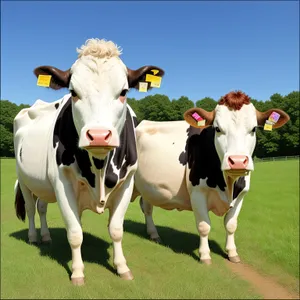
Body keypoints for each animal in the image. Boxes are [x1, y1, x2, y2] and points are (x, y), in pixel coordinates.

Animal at [13, 38, 164, 284]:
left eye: (124, 92)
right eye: (73, 92)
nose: (99, 135)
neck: (100, 169)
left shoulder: (127, 183)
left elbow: (116, 230)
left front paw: (122, 267)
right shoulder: (62, 183)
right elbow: (75, 232)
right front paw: (77, 271)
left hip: (43, 183)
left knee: (42, 207)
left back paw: (46, 236)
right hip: (24, 179)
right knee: (30, 208)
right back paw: (34, 236)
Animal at [132, 91, 290, 264]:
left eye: (254, 128)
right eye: (217, 128)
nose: (237, 161)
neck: (228, 185)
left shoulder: (241, 195)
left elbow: (231, 225)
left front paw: (232, 253)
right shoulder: (197, 193)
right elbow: (204, 226)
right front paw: (205, 255)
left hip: (147, 186)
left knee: (146, 207)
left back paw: (154, 234)